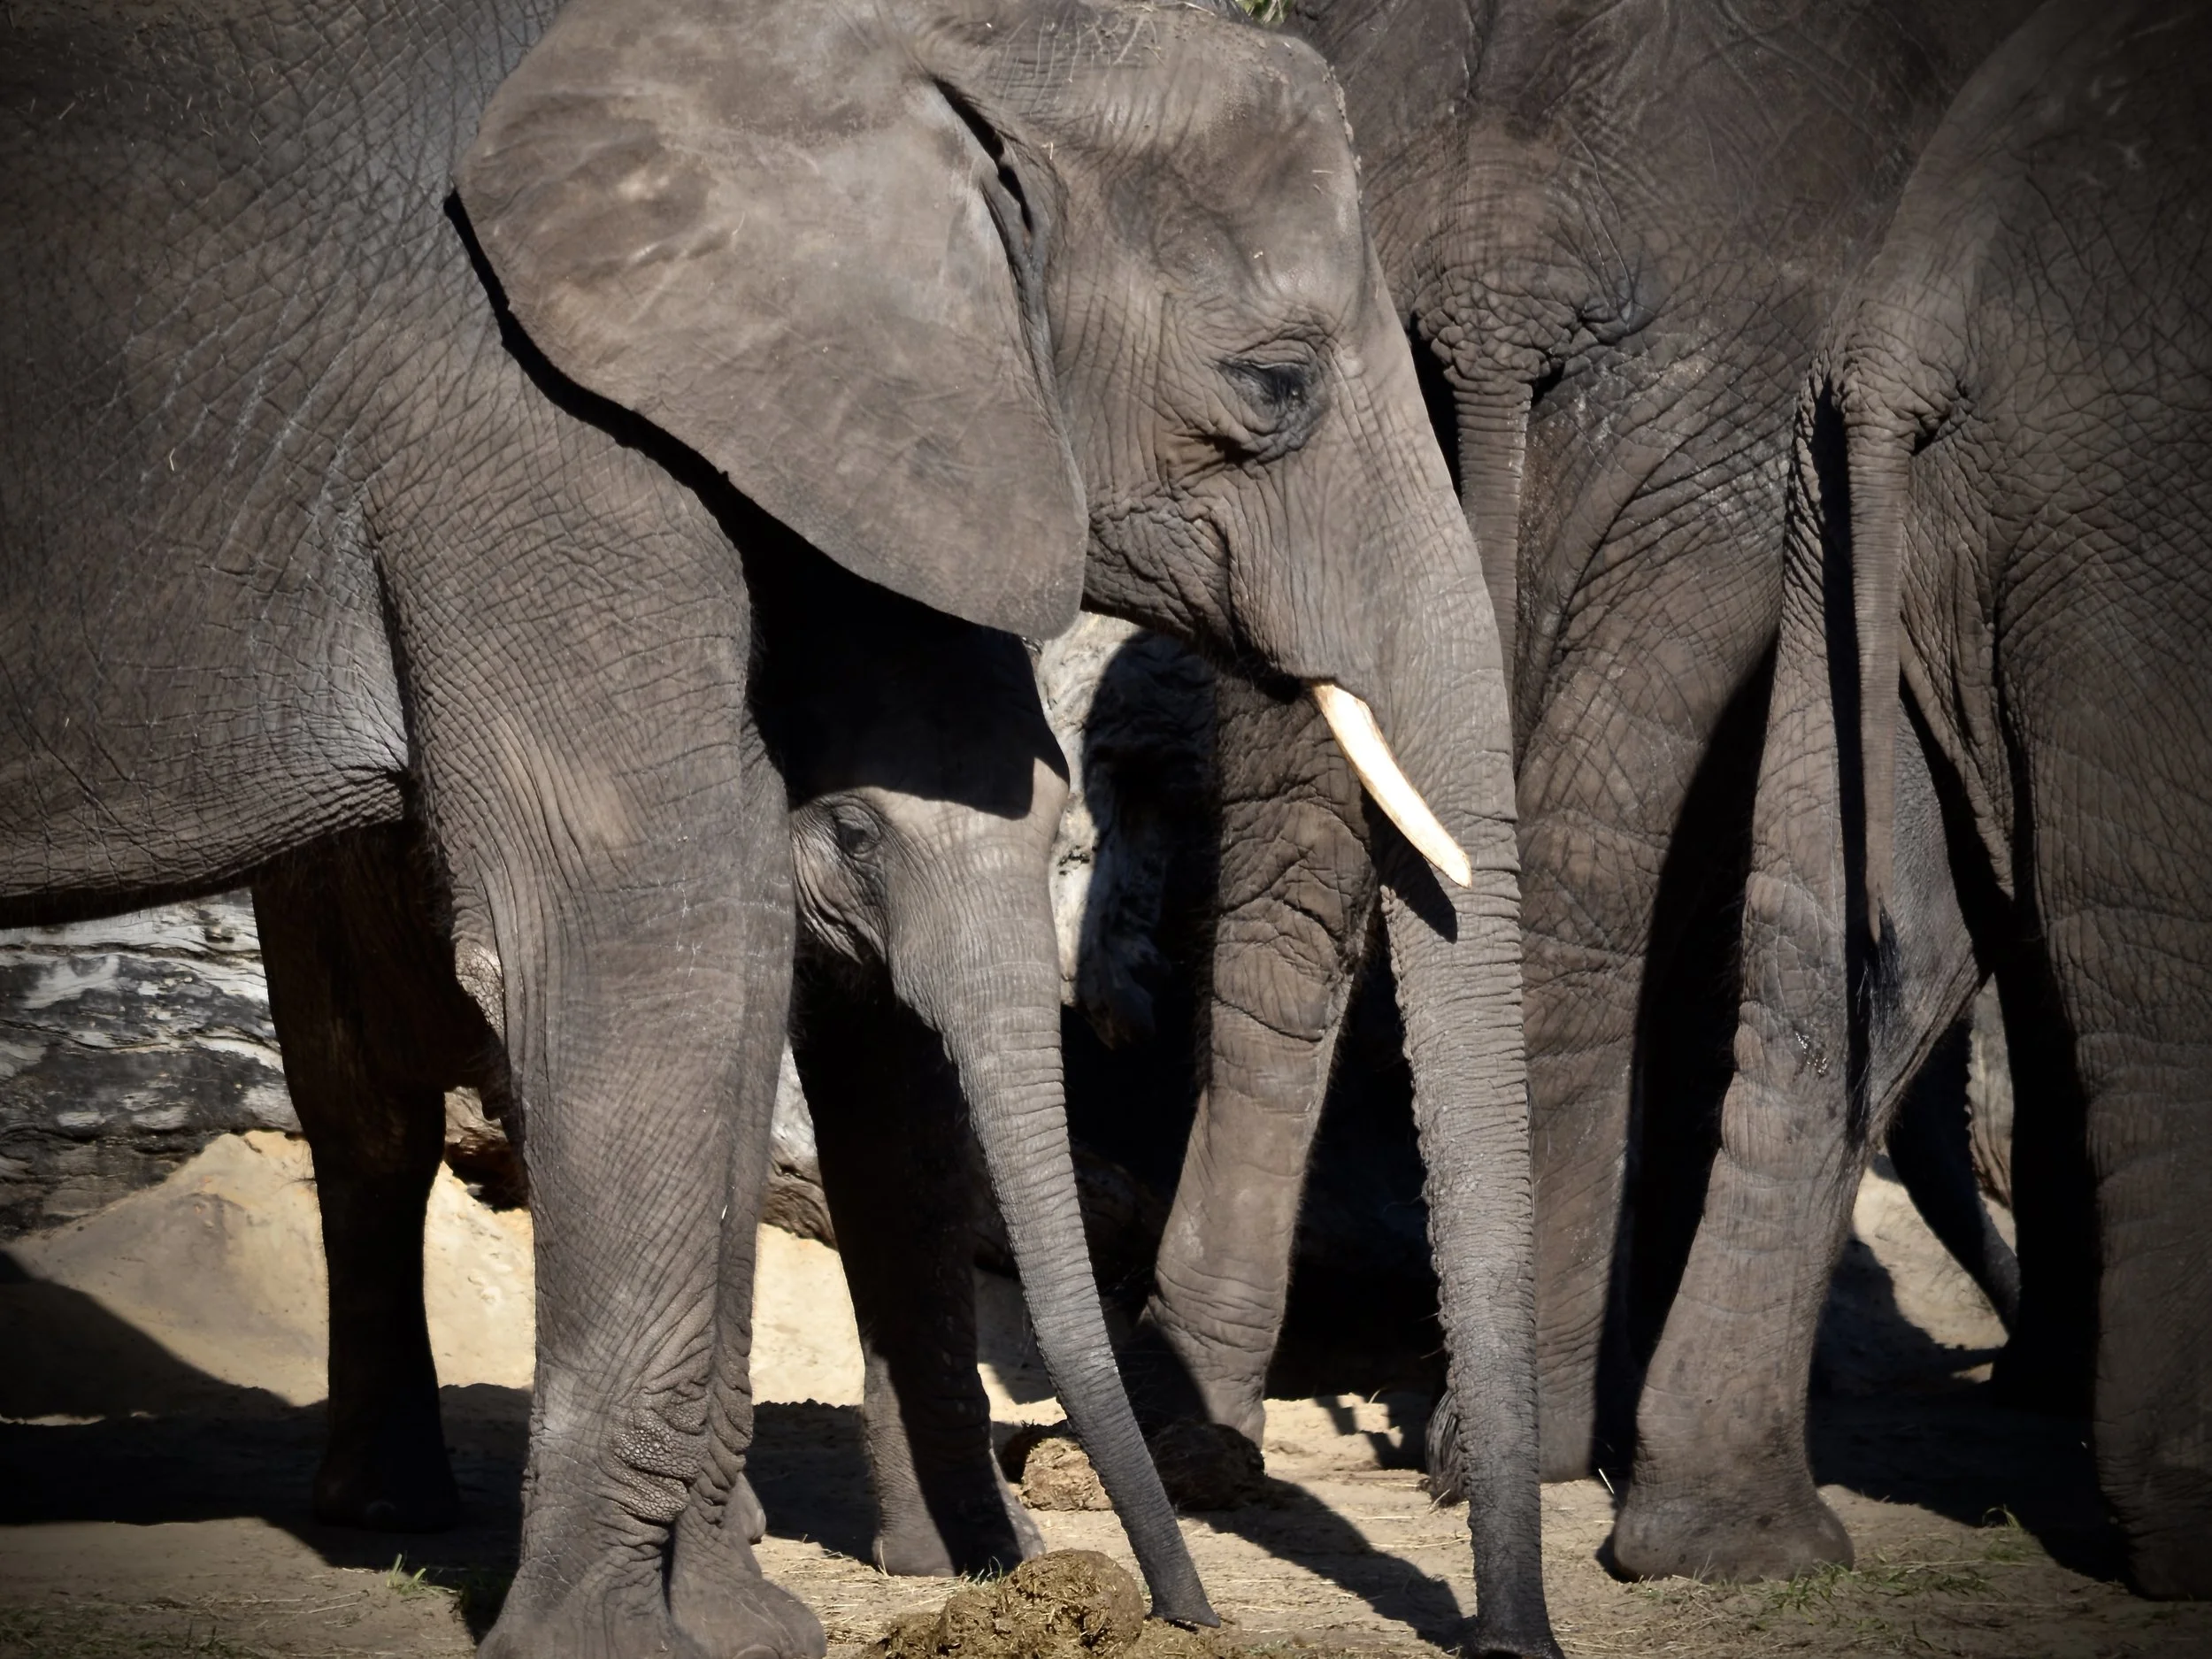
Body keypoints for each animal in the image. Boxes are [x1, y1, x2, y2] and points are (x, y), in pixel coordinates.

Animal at [1, 0, 1546, 1652]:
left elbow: (801, 1016)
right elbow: (649, 931)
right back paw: (391, 1508)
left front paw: (788, 1604)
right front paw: (626, 1638)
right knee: (371, 1113)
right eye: (1274, 385)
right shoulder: (529, 433)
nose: (1506, 1633)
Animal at [1124, 0, 2044, 1494]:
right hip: (1720, 451)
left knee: (1288, 894)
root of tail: (1503, 264)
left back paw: (1193, 1425)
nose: (1994, 1346)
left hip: (1312, 446)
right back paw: (1544, 1434)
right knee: (1573, 895)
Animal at [1610, 0, 2212, 1592]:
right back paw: (2187, 1522)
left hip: (1835, 514)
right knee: (2159, 967)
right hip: (2135, 539)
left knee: (1824, 953)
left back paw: (1727, 1546)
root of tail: (1916, 331)